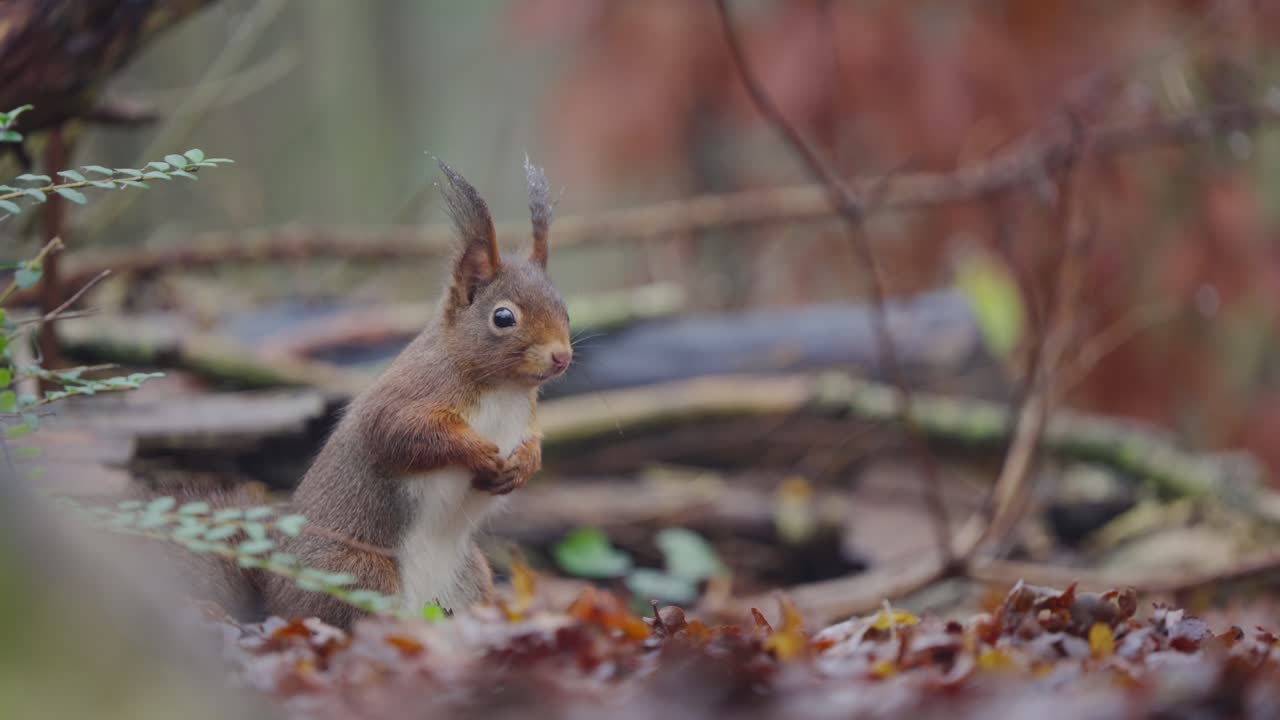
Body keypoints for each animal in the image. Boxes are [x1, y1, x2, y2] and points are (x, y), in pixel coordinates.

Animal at [174, 158, 571, 629]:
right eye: (504, 317)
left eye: (565, 309)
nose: (562, 356)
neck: (502, 390)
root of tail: (275, 603)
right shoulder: (409, 395)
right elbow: (401, 432)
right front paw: (479, 452)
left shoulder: (526, 418)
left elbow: (534, 445)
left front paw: (522, 466)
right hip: (358, 572)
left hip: (470, 576)